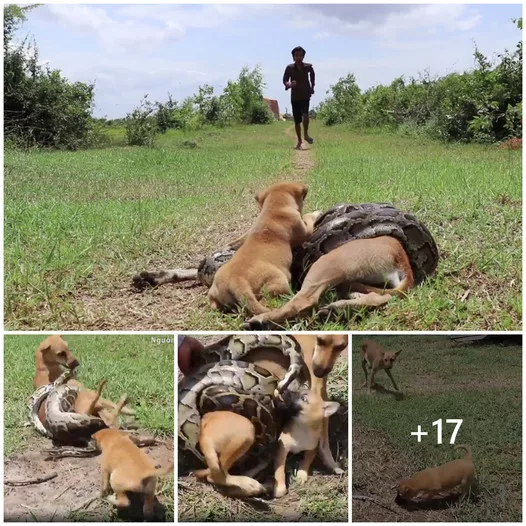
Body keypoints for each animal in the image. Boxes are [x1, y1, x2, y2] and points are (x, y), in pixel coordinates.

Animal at [208, 184, 320, 316]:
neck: (274, 208)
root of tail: (237, 281)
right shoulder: (305, 230)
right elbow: (308, 218)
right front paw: (316, 212)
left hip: (214, 291)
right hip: (279, 280)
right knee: (265, 300)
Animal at [245, 236, 414, 328]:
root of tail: (402, 258)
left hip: (325, 266)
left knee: (305, 300)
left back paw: (260, 320)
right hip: (349, 281)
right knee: (381, 297)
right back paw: (339, 308)